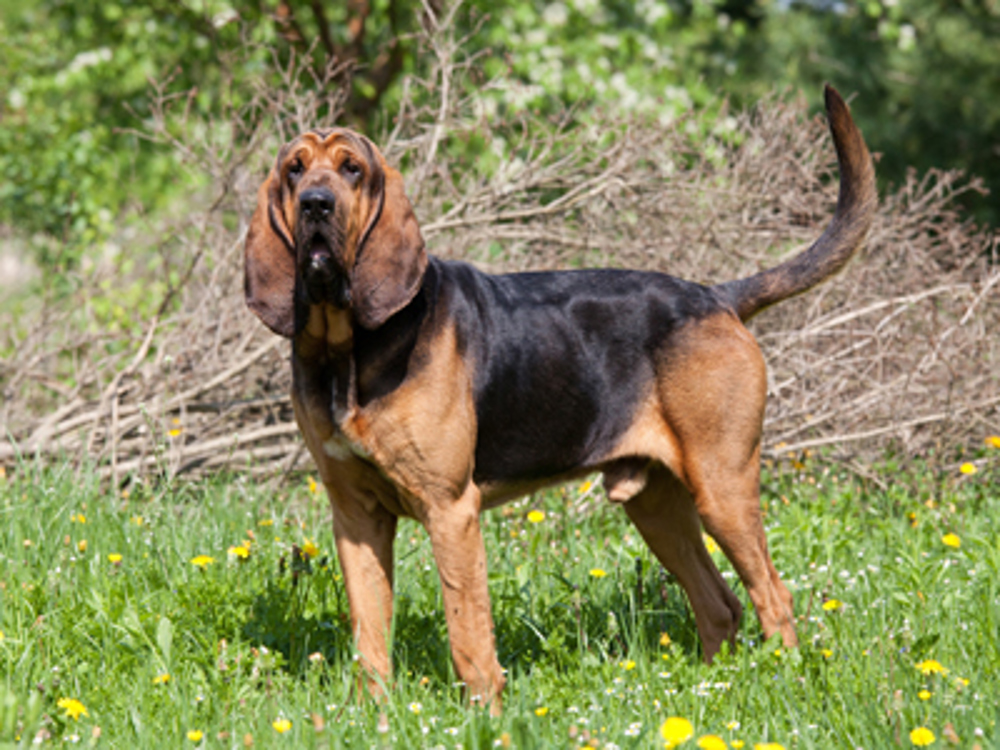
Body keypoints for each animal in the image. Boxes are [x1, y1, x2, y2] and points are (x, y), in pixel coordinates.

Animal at [244, 85, 876, 708]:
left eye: (351, 168)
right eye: (294, 169)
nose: (316, 204)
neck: (346, 347)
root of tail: (718, 296)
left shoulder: (451, 511)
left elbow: (469, 637)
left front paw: (486, 717)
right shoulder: (356, 517)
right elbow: (370, 638)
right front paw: (376, 716)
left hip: (722, 485)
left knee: (773, 595)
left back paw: (783, 682)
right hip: (658, 505)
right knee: (720, 604)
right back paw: (709, 690)